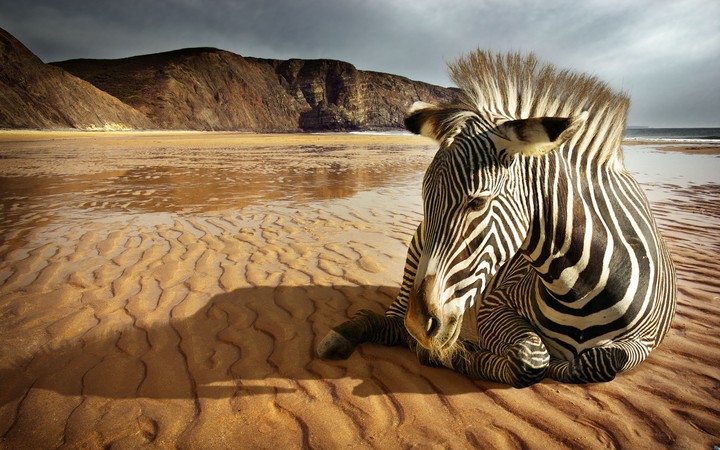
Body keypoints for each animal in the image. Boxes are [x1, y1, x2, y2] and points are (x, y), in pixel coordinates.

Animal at [317, 50, 677, 387]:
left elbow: (600, 361)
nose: (420, 326)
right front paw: (456, 355)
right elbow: (531, 358)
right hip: (416, 257)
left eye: (477, 202)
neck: (580, 289)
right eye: (425, 200)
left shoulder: (645, 341)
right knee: (392, 323)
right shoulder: (495, 304)